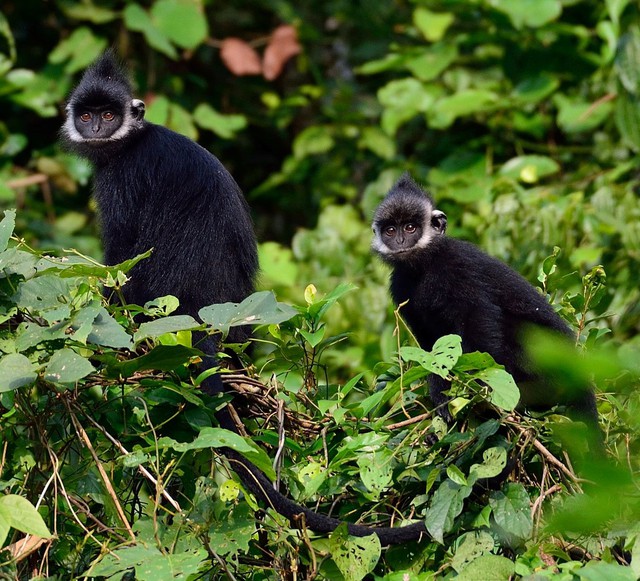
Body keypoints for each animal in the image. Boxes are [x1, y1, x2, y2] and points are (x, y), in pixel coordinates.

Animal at [61, 52, 430, 548]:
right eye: (86, 115)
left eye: (106, 115)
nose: (96, 129)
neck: (132, 140)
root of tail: (203, 317)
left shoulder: (122, 178)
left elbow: (121, 257)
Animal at [370, 172, 600, 430]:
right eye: (391, 230)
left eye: (410, 227)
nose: (400, 242)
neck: (425, 265)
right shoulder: (399, 286)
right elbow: (431, 346)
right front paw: (441, 401)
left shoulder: (458, 265)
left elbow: (477, 316)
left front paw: (481, 387)